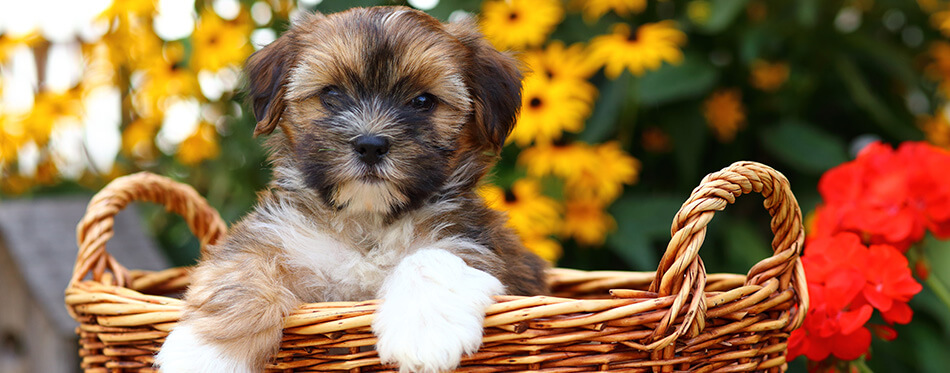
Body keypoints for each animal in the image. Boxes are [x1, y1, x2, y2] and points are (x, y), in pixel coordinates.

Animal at [156, 5, 552, 372]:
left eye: (423, 101)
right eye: (331, 94)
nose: (371, 145)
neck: (367, 220)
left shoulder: (475, 244)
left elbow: (431, 257)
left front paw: (425, 332)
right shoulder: (274, 238)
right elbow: (239, 275)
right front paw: (202, 355)